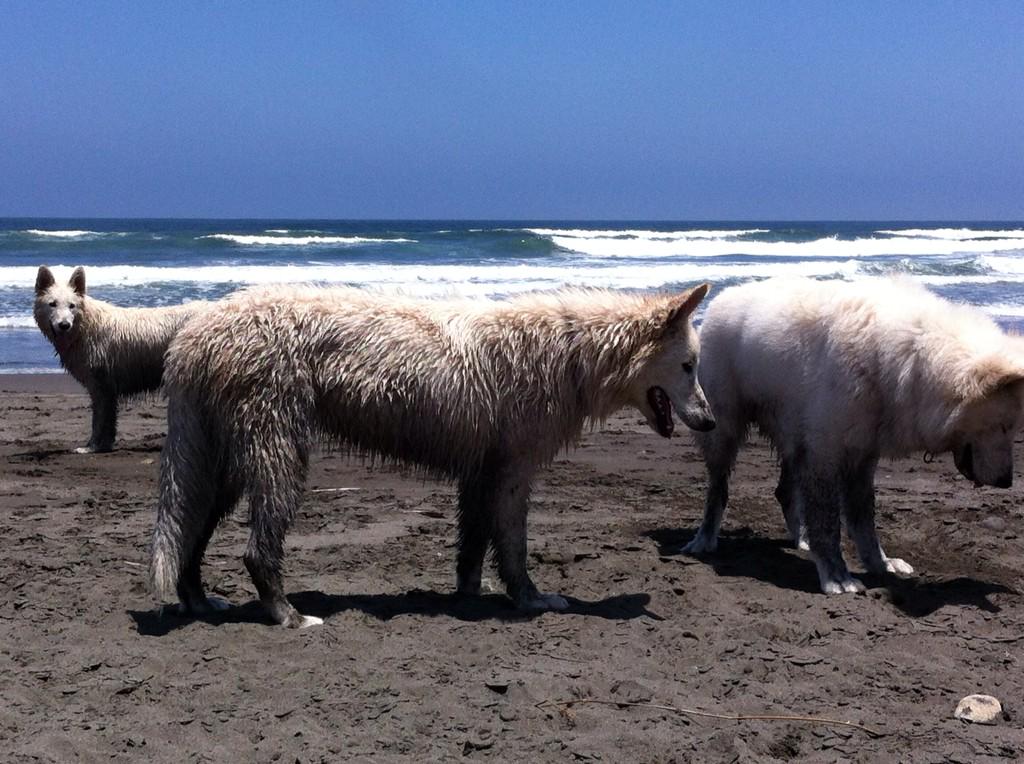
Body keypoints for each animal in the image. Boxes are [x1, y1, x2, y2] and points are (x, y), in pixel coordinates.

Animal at [33, 265, 205, 453]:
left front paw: (91, 448)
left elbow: (98, 422)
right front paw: (104, 446)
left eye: (72, 306)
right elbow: (107, 423)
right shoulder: (106, 390)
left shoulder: (101, 387)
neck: (85, 325)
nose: (64, 325)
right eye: (52, 304)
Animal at [150, 283, 714, 627]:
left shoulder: (482, 472)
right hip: (278, 454)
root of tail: (194, 332)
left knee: (191, 529)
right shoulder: (512, 471)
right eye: (689, 366)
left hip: (223, 463)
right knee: (254, 549)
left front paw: (469, 594)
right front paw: (529, 600)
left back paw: (198, 601)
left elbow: (473, 545)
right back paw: (286, 614)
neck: (572, 351)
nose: (710, 421)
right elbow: (513, 547)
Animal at [681, 277, 1024, 594]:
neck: (908, 359)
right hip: (724, 432)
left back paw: (801, 539)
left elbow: (863, 518)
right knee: (718, 491)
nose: (1007, 481)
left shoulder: (861, 455)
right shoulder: (824, 454)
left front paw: (880, 564)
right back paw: (704, 540)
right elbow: (828, 520)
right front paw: (836, 575)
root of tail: (724, 296)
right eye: (1004, 425)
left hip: (795, 436)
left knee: (784, 492)